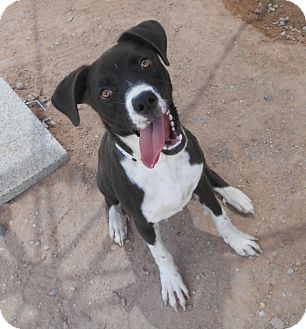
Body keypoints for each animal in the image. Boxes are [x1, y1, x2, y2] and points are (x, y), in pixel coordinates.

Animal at [51, 19, 262, 310]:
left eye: (145, 63)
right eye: (105, 93)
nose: (144, 101)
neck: (163, 164)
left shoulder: (202, 186)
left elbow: (221, 219)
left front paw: (238, 240)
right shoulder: (142, 221)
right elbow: (160, 253)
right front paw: (172, 283)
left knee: (209, 173)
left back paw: (235, 195)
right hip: (102, 177)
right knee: (110, 201)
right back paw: (116, 223)